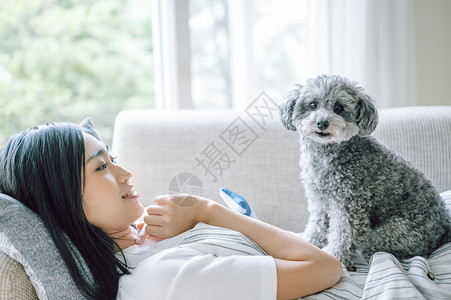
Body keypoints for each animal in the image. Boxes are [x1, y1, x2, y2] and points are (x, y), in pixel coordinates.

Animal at [280, 74, 450, 268]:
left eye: (339, 107)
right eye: (313, 105)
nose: (322, 122)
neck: (327, 154)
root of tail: (444, 230)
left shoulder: (350, 204)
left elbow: (344, 235)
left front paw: (336, 256)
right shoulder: (320, 200)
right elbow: (318, 225)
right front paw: (310, 242)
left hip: (393, 232)